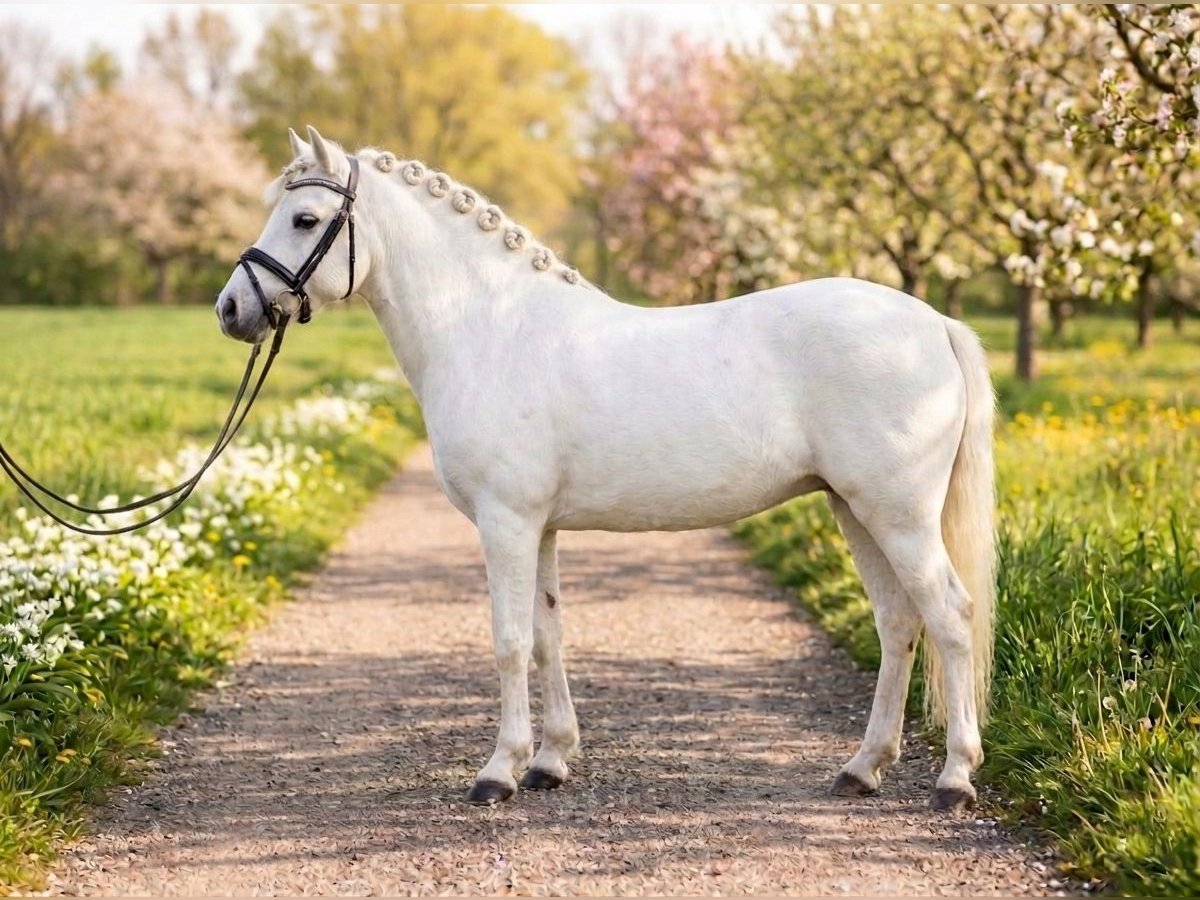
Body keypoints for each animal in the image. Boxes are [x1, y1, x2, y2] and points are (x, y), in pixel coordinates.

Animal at [217, 126, 996, 813]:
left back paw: (954, 780)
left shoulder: (505, 523)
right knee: (898, 622)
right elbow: (547, 636)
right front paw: (550, 762)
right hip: (854, 509)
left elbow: (509, 643)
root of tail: (933, 323)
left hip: (898, 515)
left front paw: (498, 772)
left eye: (305, 218)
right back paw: (862, 769)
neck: (491, 330)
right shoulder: (539, 528)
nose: (231, 308)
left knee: (949, 615)